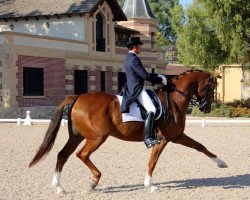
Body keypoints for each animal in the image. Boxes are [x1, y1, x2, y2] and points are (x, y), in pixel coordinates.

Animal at [29, 69, 229, 195]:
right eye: (211, 87)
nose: (206, 108)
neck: (174, 99)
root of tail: (77, 97)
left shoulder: (174, 137)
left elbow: (199, 146)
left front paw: (221, 162)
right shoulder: (168, 138)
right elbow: (154, 161)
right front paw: (150, 185)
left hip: (77, 136)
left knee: (62, 155)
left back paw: (59, 187)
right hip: (97, 138)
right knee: (82, 154)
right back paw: (94, 181)